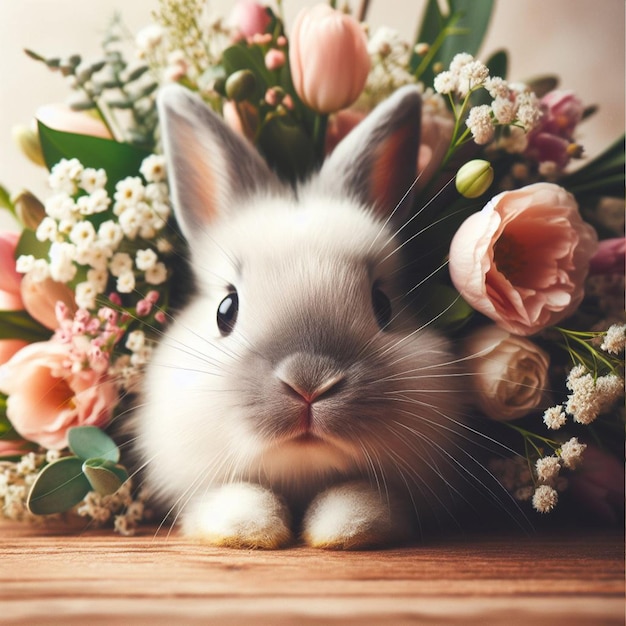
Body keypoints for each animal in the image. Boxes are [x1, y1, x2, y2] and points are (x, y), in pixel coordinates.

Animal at [134, 83, 470, 544]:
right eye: (225, 310)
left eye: (382, 305)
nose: (308, 382)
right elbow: (234, 497)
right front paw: (251, 529)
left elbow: (361, 501)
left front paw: (340, 529)